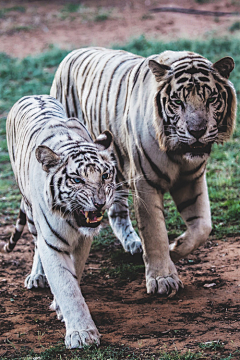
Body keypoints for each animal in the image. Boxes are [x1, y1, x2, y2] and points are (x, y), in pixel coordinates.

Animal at [0, 94, 116, 348]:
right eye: (77, 180)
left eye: (105, 175)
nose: (100, 203)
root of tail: (32, 95)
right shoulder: (51, 242)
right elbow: (66, 285)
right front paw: (82, 333)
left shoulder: (83, 241)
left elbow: (74, 273)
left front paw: (63, 310)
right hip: (31, 214)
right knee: (35, 245)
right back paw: (37, 277)